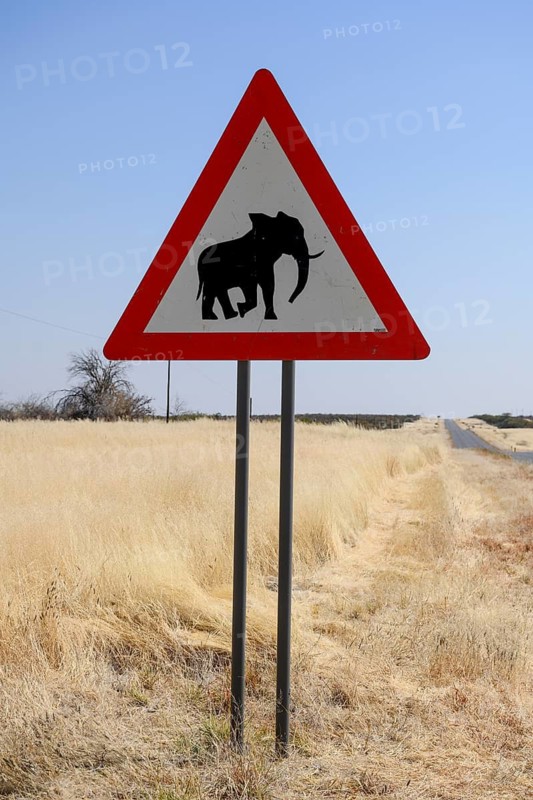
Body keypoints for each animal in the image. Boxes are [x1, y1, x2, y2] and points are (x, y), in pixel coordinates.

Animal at [195, 211, 324, 320]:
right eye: (296, 237)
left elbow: (266, 286)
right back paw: (225, 316)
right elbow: (264, 286)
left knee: (212, 293)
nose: (290, 301)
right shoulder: (255, 262)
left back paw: (220, 317)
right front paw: (242, 309)